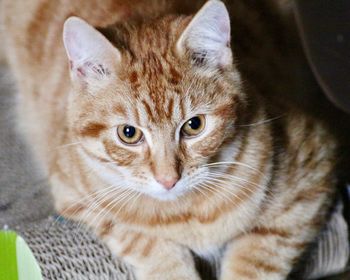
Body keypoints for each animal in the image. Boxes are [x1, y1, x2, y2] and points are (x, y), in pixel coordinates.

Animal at [0, 1, 340, 278]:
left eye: (194, 125)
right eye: (128, 134)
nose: (168, 180)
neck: (185, 213)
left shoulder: (312, 180)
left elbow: (257, 259)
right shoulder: (74, 194)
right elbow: (147, 244)